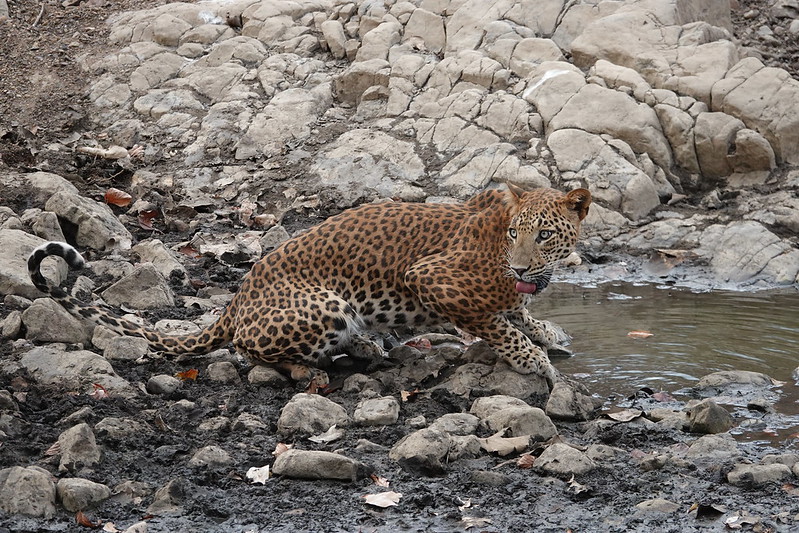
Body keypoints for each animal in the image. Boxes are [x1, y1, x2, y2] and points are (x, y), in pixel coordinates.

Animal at [28, 185, 592, 388]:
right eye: (516, 233)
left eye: (544, 235)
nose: (520, 268)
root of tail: (235, 300)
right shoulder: (433, 278)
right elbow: (496, 324)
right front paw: (533, 360)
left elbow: (516, 313)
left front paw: (547, 333)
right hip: (326, 304)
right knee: (248, 348)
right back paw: (317, 365)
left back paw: (367, 345)